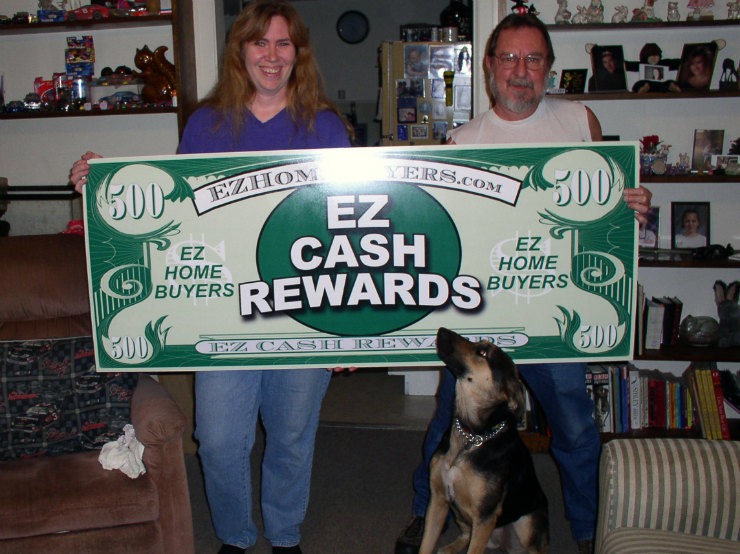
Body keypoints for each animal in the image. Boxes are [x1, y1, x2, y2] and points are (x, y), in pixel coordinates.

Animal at [419, 328, 549, 554]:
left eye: (484, 353)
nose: (442, 330)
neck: (472, 435)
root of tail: (503, 545)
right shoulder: (438, 499)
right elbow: (426, 544)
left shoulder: (485, 517)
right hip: (460, 516)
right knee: (464, 535)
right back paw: (449, 548)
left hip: (528, 525)